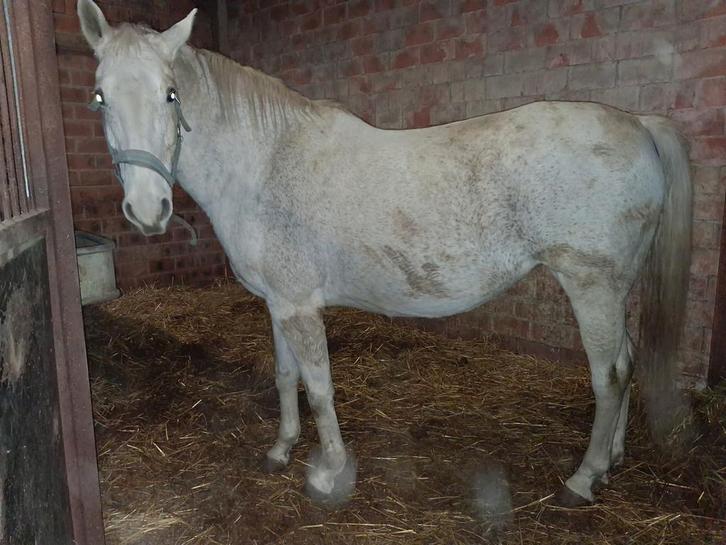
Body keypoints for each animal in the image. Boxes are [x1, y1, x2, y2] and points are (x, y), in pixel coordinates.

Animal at [77, 0, 692, 507]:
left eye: (170, 94)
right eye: (100, 96)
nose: (148, 208)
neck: (267, 163)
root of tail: (639, 124)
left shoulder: (301, 308)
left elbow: (319, 387)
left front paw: (330, 472)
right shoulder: (278, 303)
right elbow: (285, 375)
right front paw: (280, 450)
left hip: (592, 287)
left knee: (609, 375)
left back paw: (583, 480)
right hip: (613, 291)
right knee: (627, 362)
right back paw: (612, 461)